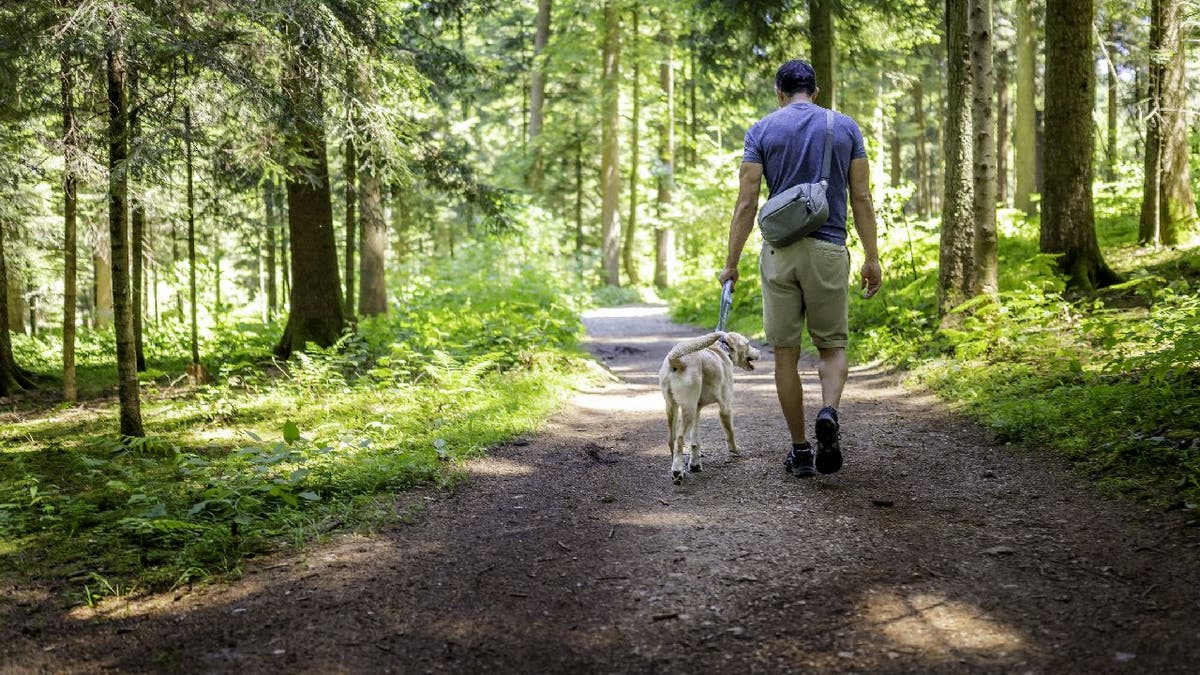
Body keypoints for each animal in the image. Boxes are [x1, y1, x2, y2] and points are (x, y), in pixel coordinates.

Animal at [657, 329, 758, 480]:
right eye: (748, 343)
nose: (759, 352)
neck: (723, 350)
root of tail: (675, 359)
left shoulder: (698, 409)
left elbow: (695, 442)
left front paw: (694, 465)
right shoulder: (725, 407)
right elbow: (730, 432)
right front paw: (735, 449)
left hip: (672, 407)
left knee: (672, 440)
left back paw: (679, 468)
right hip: (688, 409)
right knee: (680, 439)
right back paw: (677, 472)